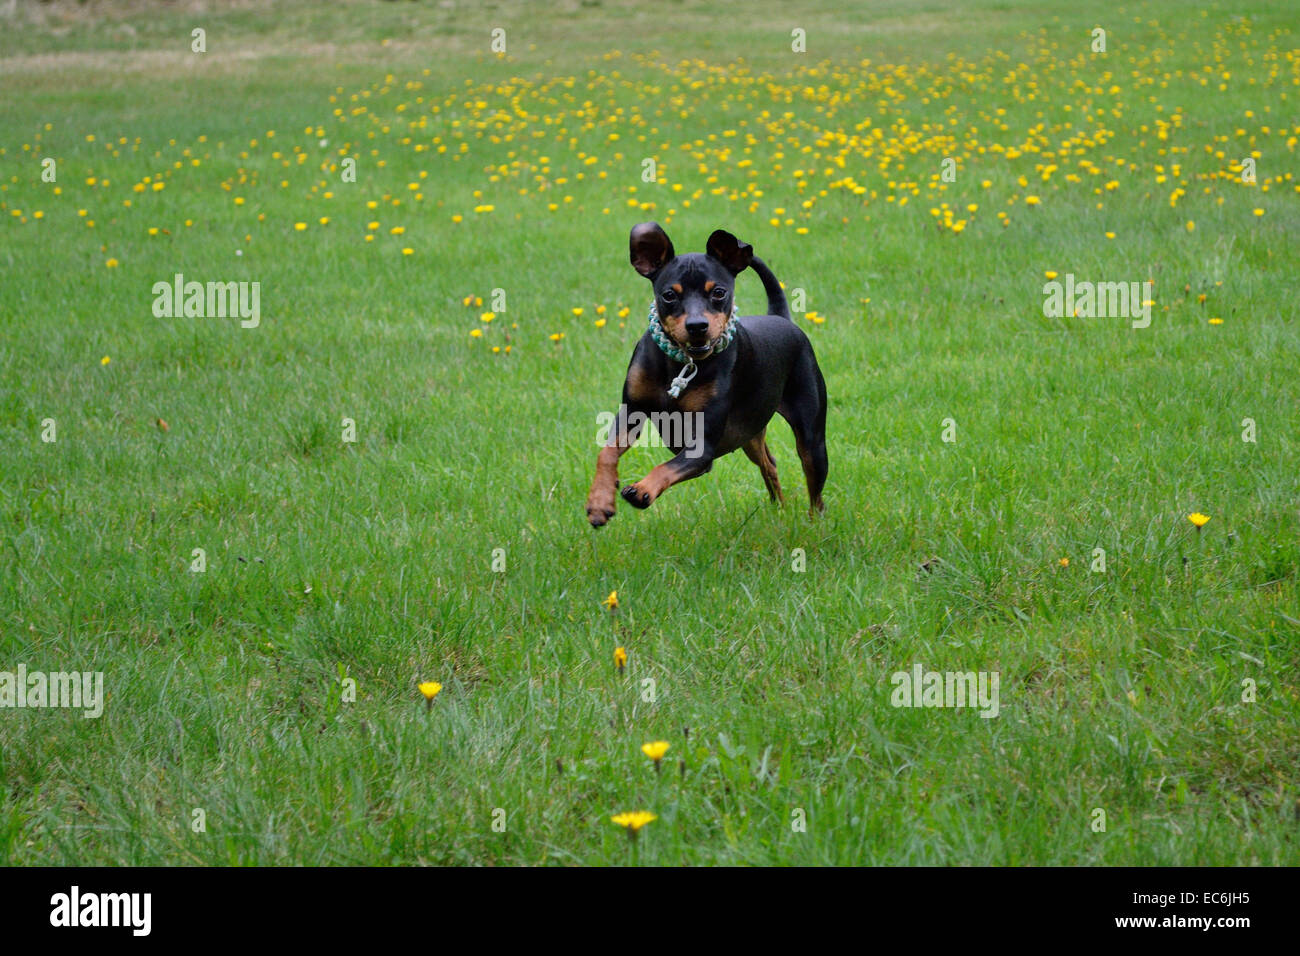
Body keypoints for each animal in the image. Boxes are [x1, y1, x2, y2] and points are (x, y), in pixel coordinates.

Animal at [587, 221, 826, 528]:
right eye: (669, 295)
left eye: (719, 292)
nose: (697, 326)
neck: (681, 363)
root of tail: (780, 317)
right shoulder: (631, 411)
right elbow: (606, 452)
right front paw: (599, 502)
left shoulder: (702, 447)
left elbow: (665, 467)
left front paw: (642, 490)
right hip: (750, 434)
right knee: (769, 464)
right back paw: (779, 511)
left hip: (811, 440)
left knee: (815, 492)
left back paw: (813, 526)